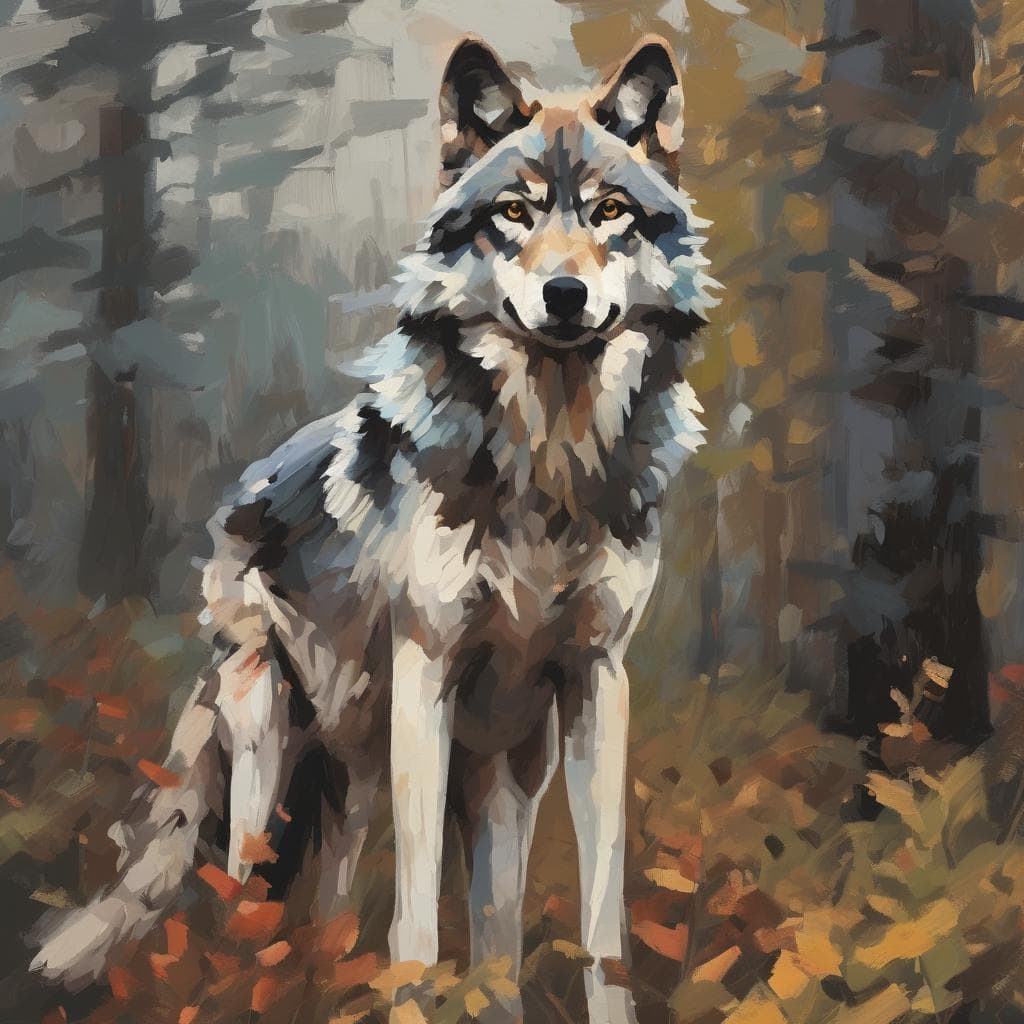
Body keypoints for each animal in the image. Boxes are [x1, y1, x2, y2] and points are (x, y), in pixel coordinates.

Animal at [31, 35, 718, 1024]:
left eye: (611, 212)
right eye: (513, 213)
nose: (564, 293)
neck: (547, 464)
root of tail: (236, 499)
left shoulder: (598, 683)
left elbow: (600, 925)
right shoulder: (426, 675)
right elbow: (417, 924)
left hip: (473, 779)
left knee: (413, 927)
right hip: (278, 756)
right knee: (249, 900)